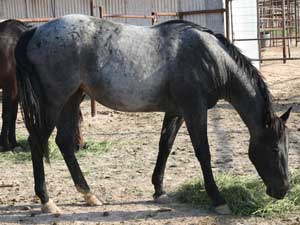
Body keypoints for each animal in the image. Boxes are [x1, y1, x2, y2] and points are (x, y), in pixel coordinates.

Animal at [15, 14, 292, 214]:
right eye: (274, 149)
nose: (283, 190)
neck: (210, 59)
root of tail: (36, 31)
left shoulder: (176, 111)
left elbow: (165, 146)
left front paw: (159, 190)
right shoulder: (194, 109)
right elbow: (203, 152)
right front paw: (218, 199)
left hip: (72, 100)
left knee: (63, 143)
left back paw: (89, 194)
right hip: (54, 102)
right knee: (36, 142)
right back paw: (47, 201)